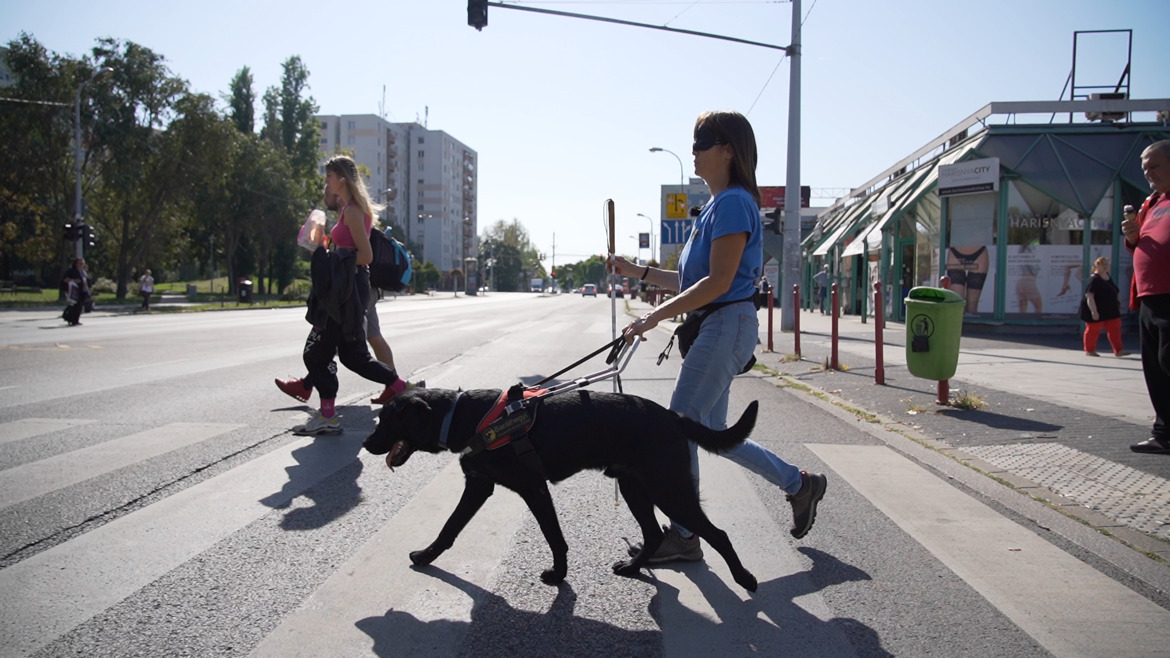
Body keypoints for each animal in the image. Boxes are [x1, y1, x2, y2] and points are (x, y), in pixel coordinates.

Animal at [367, 381, 767, 592]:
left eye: (385, 420)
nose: (367, 444)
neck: (463, 416)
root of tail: (674, 417)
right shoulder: (480, 486)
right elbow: (449, 527)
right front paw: (426, 555)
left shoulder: (533, 488)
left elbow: (554, 536)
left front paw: (558, 575)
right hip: (635, 487)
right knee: (653, 534)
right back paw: (633, 567)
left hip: (668, 489)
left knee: (718, 534)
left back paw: (744, 577)